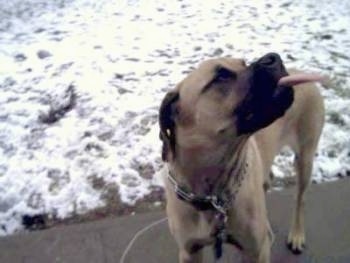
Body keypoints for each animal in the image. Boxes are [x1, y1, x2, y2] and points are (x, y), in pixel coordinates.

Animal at [159, 52, 326, 262]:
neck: (212, 195)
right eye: (221, 77)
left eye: (243, 63)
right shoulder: (189, 251)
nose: (273, 58)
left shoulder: (255, 251)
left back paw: (296, 235)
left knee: (300, 199)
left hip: (305, 155)